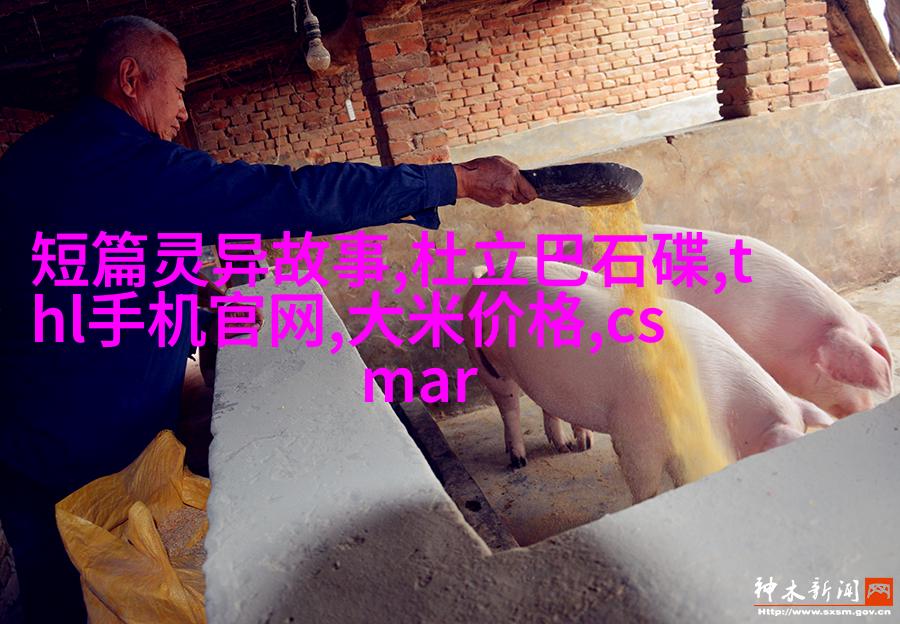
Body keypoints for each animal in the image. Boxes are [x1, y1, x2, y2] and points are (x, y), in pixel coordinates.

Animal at [462, 258, 834, 503]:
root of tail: (486, 274)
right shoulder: (636, 434)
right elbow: (644, 482)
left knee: (546, 405)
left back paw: (574, 445)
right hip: (484, 358)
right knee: (509, 405)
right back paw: (518, 460)